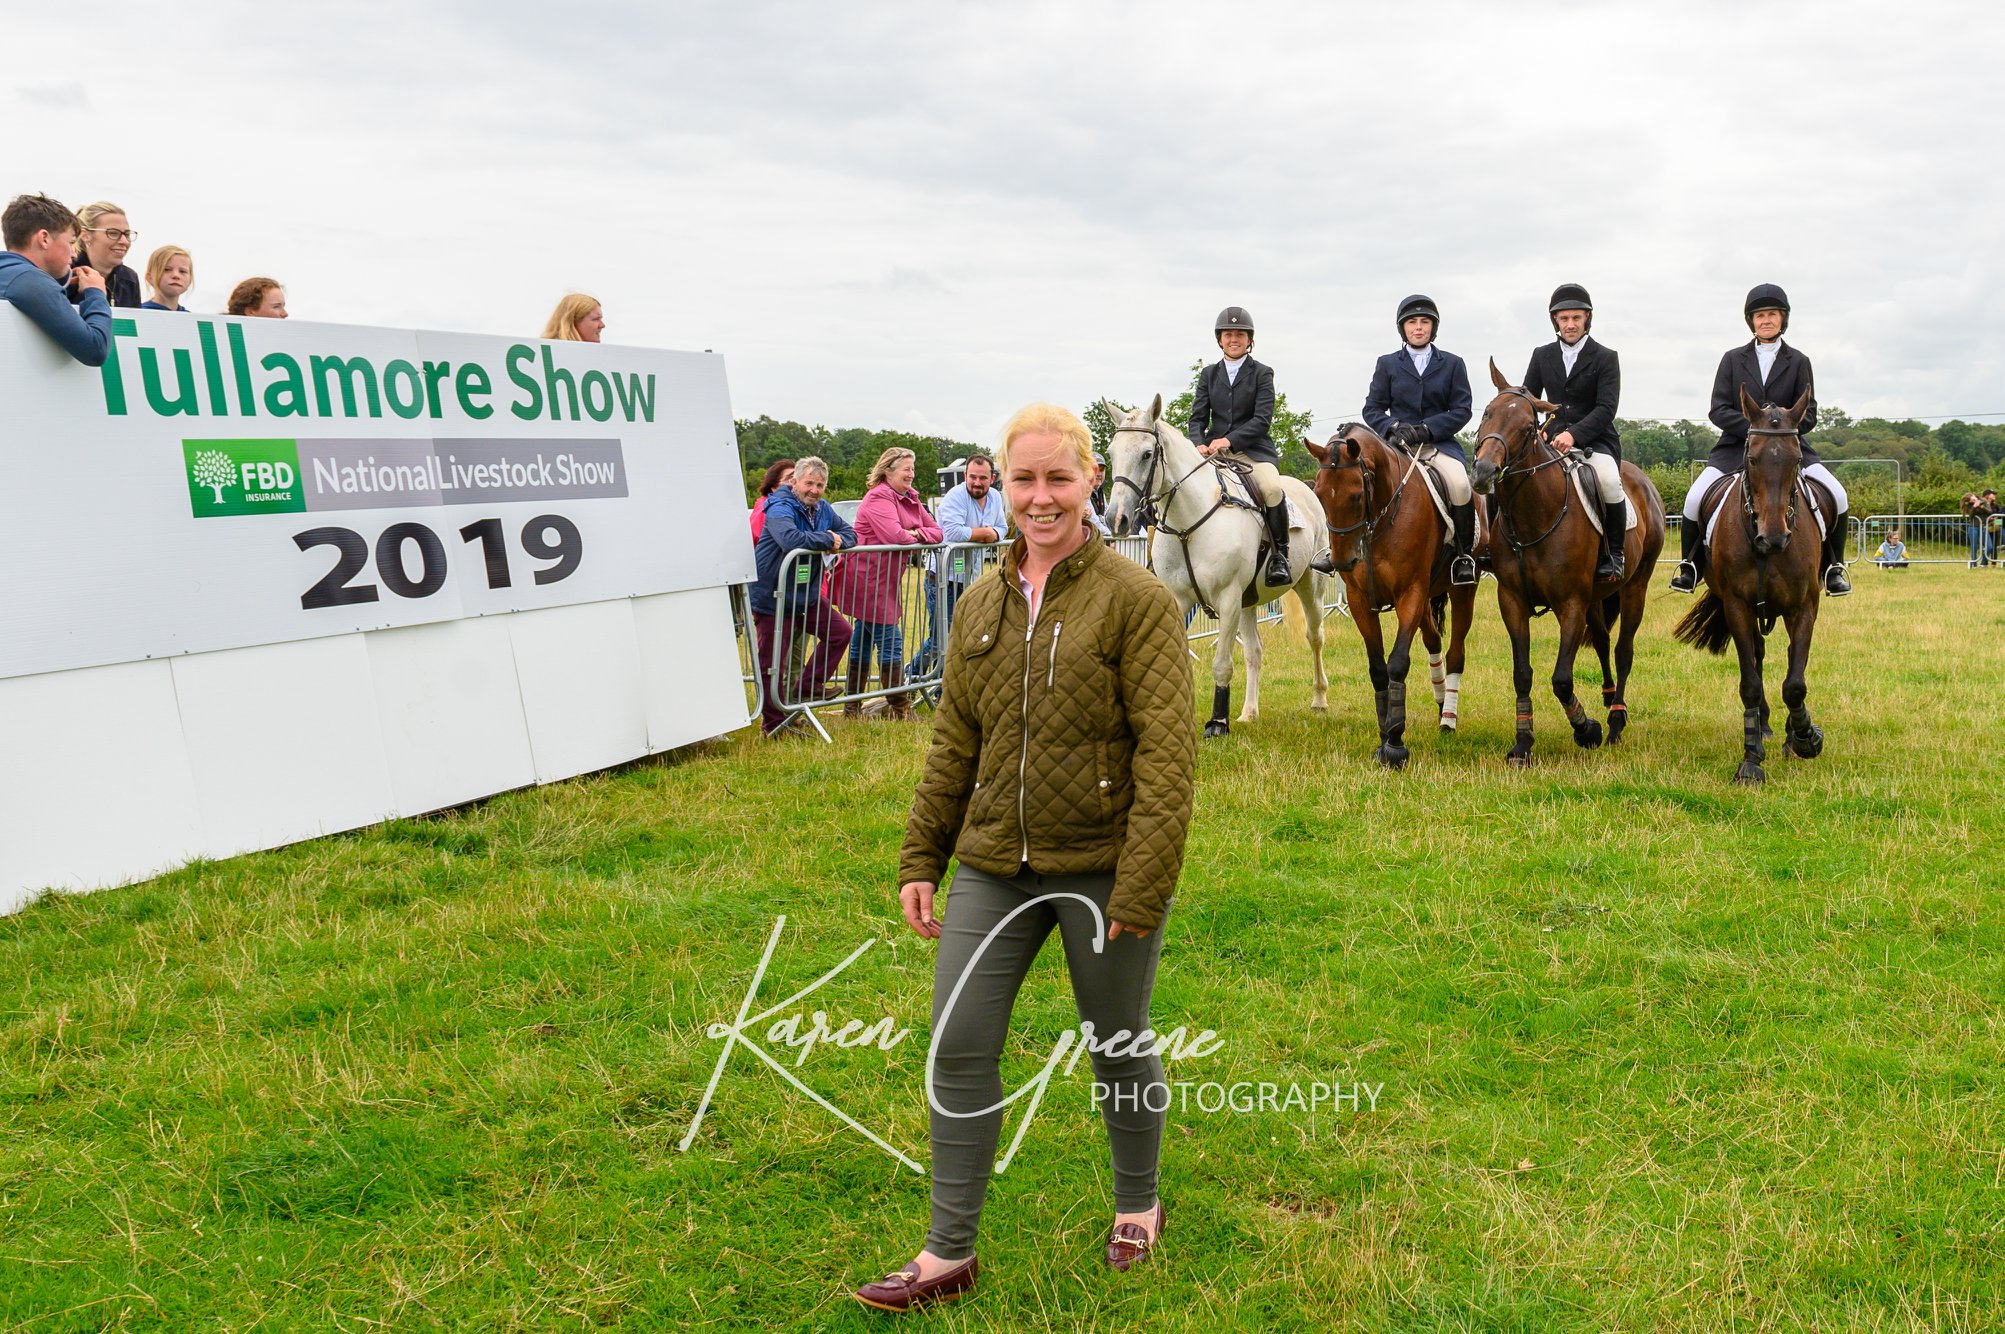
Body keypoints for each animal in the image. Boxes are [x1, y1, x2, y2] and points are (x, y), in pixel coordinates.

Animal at [1102, 396, 1329, 738]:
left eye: (1146, 454)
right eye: (1111, 453)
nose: (1116, 519)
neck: (1188, 524)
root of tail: (1307, 491)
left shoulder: (1228, 599)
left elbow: (1222, 664)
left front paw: (1217, 723)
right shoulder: (1181, 599)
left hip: (1309, 588)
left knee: (1315, 637)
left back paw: (1318, 700)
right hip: (1249, 602)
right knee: (1254, 652)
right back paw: (1249, 712)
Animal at [1303, 423, 1478, 769]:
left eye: (1357, 495)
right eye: (1319, 495)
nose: (1342, 561)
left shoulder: (1410, 594)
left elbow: (1397, 663)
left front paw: (1395, 744)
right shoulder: (1359, 600)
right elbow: (1377, 668)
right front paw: (1384, 734)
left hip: (1462, 592)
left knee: (1455, 653)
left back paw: (1448, 719)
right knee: (1433, 643)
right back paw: (1441, 704)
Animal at [1469, 360, 1667, 766]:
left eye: (1528, 428)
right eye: (1487, 413)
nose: (1483, 473)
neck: (1535, 514)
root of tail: (1642, 480)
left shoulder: (1570, 605)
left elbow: (1561, 679)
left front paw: (1586, 729)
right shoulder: (1512, 601)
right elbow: (1522, 673)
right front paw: (1523, 744)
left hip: (1635, 587)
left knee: (1623, 651)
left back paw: (1616, 720)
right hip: (1595, 598)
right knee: (1604, 643)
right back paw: (1607, 699)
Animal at [1672, 386, 1827, 784]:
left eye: (1796, 459)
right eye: (1753, 460)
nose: (1773, 539)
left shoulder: (1804, 606)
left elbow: (1795, 681)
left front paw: (1805, 738)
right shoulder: (1737, 606)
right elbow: (1750, 683)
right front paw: (1751, 759)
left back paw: (1787, 735)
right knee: (1757, 655)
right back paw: (1766, 727)